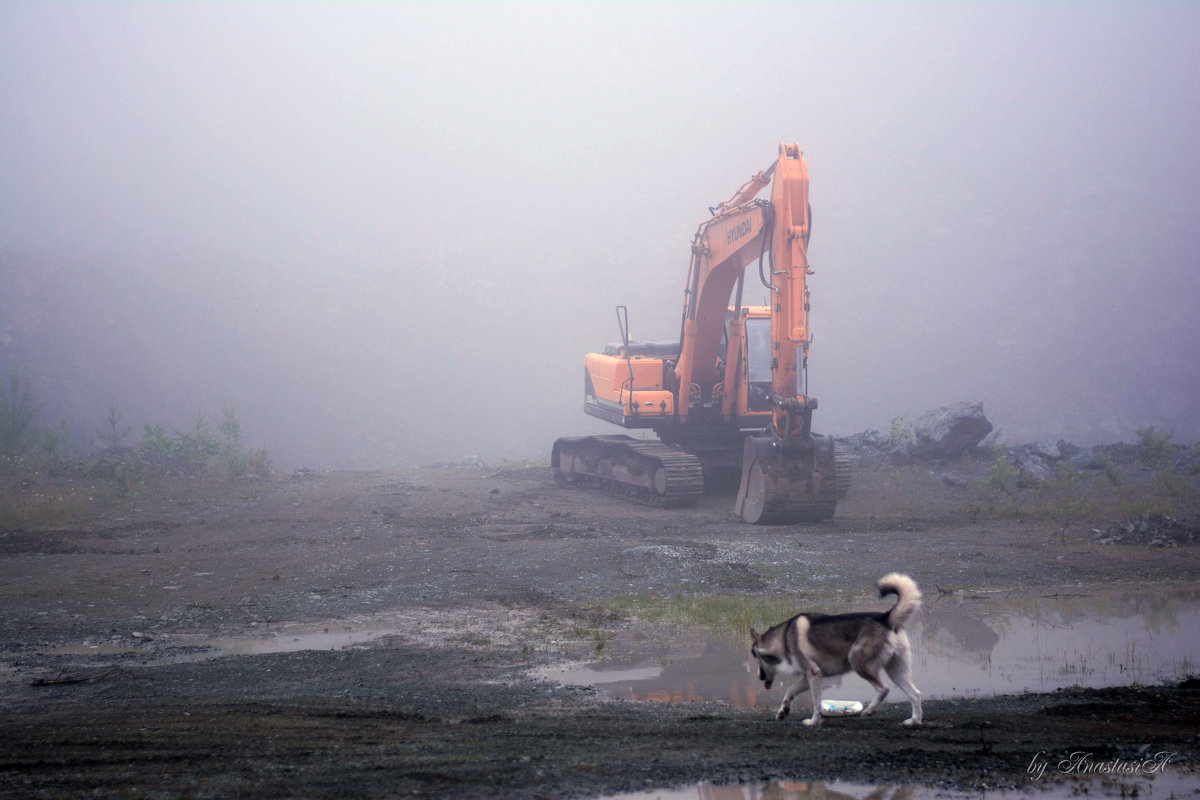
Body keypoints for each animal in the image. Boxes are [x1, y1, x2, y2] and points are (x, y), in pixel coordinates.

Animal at [748, 573, 926, 729]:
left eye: (754, 655)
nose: (758, 676)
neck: (784, 638)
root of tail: (885, 618)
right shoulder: (808, 677)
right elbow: (790, 690)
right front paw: (783, 711)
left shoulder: (814, 675)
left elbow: (816, 704)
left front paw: (813, 721)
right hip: (896, 672)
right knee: (915, 695)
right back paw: (914, 721)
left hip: (858, 663)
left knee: (884, 689)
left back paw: (869, 710)